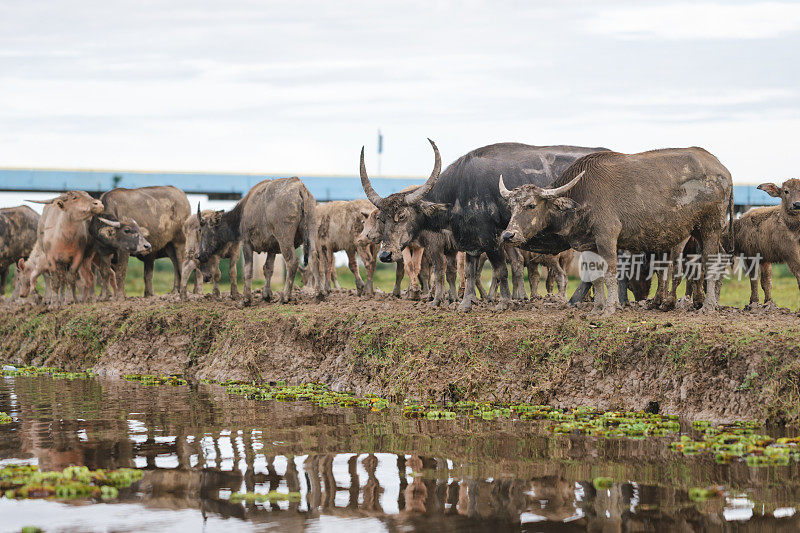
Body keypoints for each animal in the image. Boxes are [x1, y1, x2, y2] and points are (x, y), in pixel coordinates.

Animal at [360, 140, 604, 312]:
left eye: (401, 215)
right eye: (382, 218)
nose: (385, 255)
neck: (459, 191)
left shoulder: (493, 240)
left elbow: (500, 270)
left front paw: (503, 302)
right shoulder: (471, 243)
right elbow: (468, 272)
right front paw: (465, 304)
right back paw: (577, 300)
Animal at [504, 147, 736, 316]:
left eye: (531, 205)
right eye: (510, 206)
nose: (508, 235)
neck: (580, 195)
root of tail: (723, 170)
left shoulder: (607, 237)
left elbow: (610, 274)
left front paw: (610, 307)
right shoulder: (588, 244)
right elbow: (595, 277)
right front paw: (597, 308)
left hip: (711, 227)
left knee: (711, 263)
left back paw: (707, 306)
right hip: (697, 231)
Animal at [736, 178, 800, 306]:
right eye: (786, 191)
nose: (797, 204)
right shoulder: (792, 256)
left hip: (764, 258)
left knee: (766, 280)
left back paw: (769, 302)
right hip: (750, 256)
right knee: (754, 278)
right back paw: (754, 302)